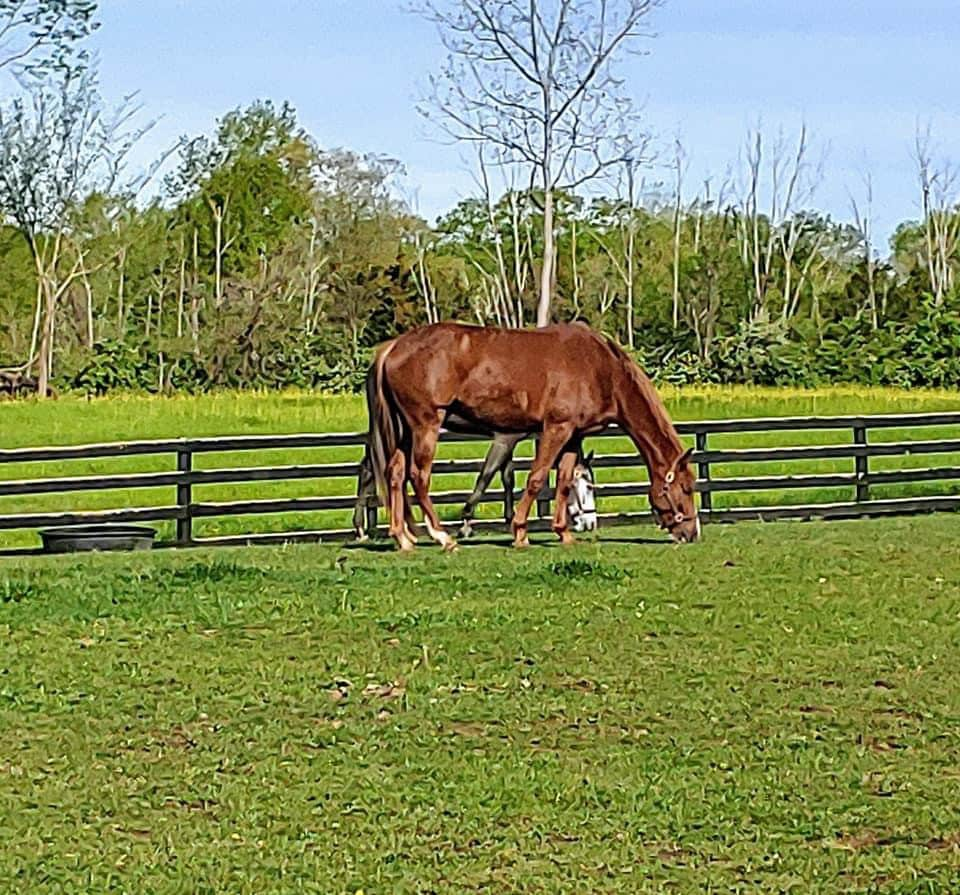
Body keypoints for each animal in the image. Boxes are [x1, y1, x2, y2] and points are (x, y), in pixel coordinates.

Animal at [368, 318, 696, 548]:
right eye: (686, 488)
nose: (692, 533)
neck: (602, 369)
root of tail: (394, 346)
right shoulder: (555, 429)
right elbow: (537, 479)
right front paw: (520, 532)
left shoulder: (574, 435)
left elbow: (563, 481)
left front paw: (563, 533)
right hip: (426, 425)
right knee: (418, 476)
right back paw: (442, 537)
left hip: (405, 431)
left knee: (396, 474)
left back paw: (403, 538)